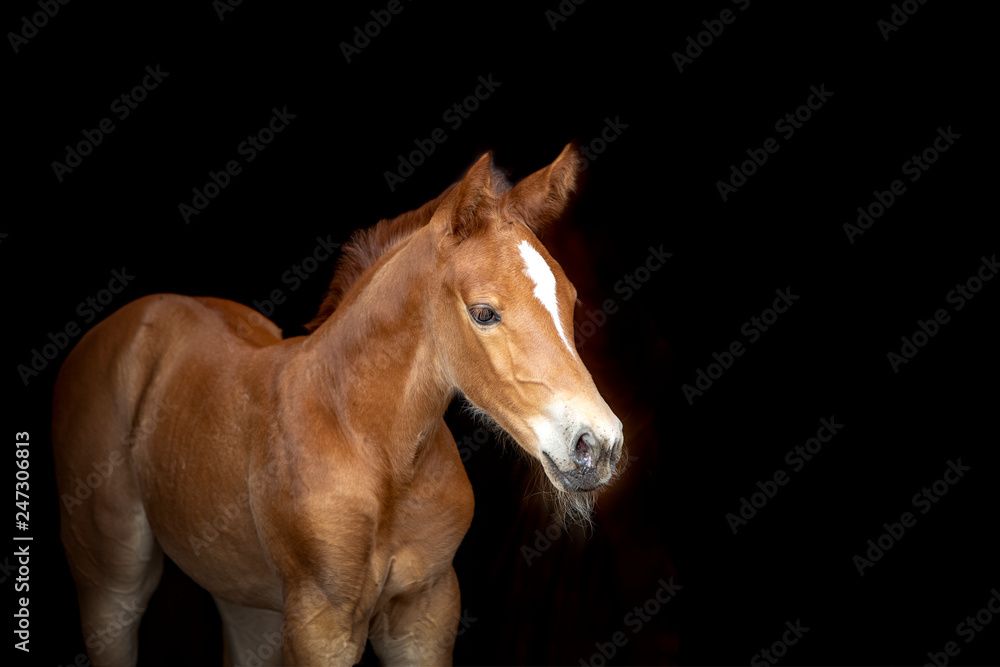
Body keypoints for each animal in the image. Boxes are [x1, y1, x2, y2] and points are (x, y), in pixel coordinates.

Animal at [52, 142, 624, 666]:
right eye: (484, 312)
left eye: (571, 300)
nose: (597, 445)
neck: (373, 447)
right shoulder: (320, 622)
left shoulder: (426, 612)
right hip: (111, 580)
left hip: (242, 594)